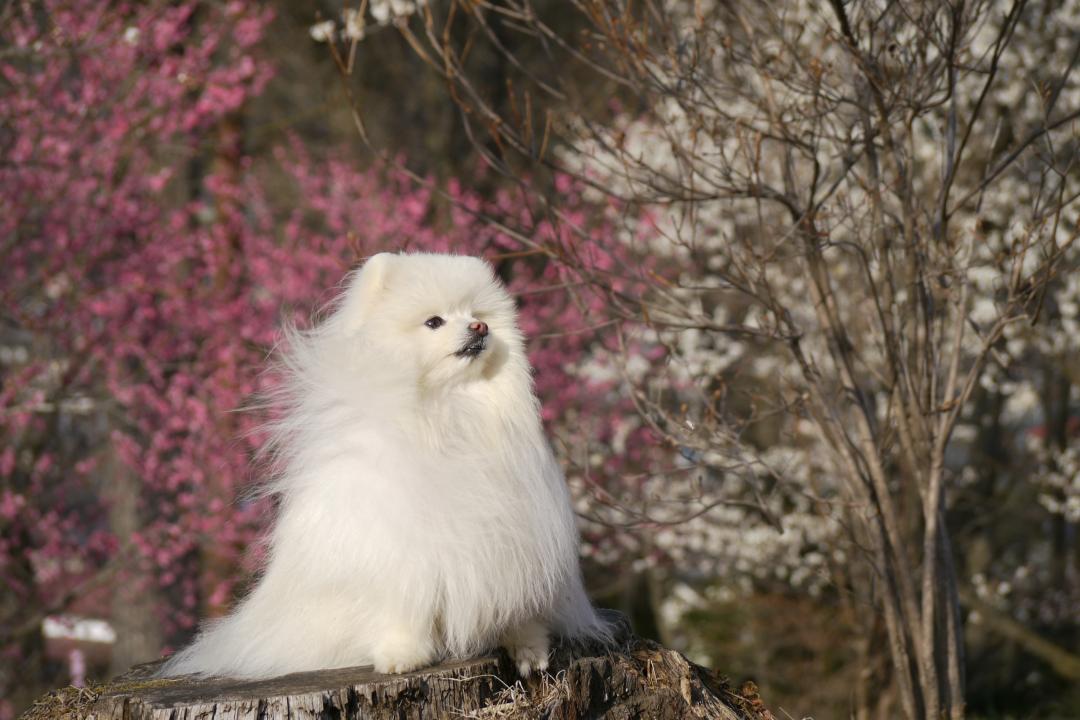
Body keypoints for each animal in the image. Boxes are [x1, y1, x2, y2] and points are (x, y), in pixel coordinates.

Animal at [159, 250, 609, 677]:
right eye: (434, 322)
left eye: (477, 315)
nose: (480, 329)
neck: (449, 409)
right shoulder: (400, 548)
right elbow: (403, 607)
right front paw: (402, 654)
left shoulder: (516, 542)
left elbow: (517, 610)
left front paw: (529, 648)